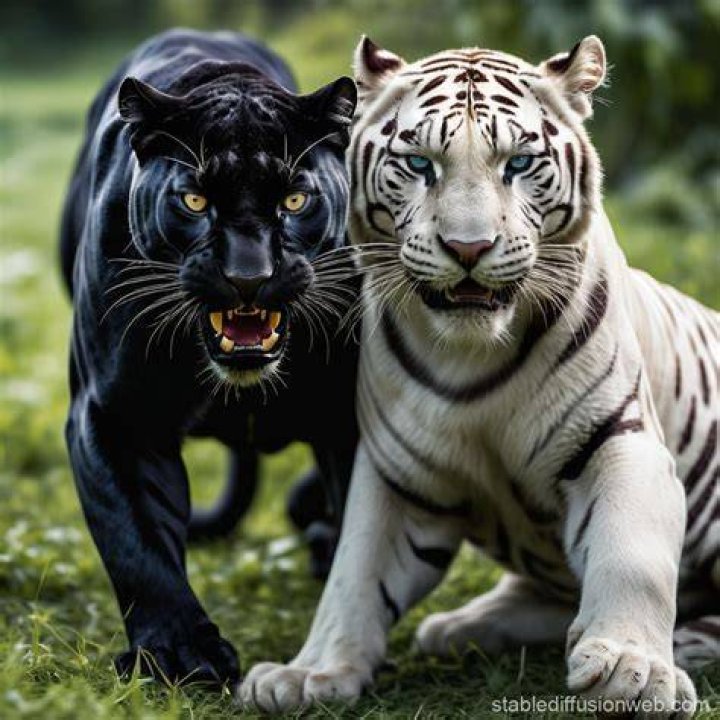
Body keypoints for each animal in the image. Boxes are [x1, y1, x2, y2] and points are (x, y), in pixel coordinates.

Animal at [240, 35, 719, 716]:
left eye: (517, 163)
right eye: (419, 163)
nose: (469, 247)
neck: (473, 358)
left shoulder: (619, 439)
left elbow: (632, 556)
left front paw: (635, 671)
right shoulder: (396, 477)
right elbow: (353, 574)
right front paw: (309, 673)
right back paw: (460, 626)